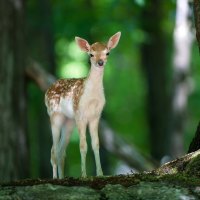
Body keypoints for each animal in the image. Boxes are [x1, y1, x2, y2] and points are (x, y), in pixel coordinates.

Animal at [44, 31, 121, 178]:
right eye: (91, 54)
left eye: (107, 53)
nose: (100, 62)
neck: (91, 98)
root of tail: (47, 90)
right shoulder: (80, 114)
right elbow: (83, 145)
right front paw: (84, 175)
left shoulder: (96, 116)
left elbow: (96, 144)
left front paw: (100, 174)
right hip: (54, 115)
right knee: (54, 150)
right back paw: (55, 178)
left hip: (69, 121)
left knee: (61, 151)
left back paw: (62, 178)